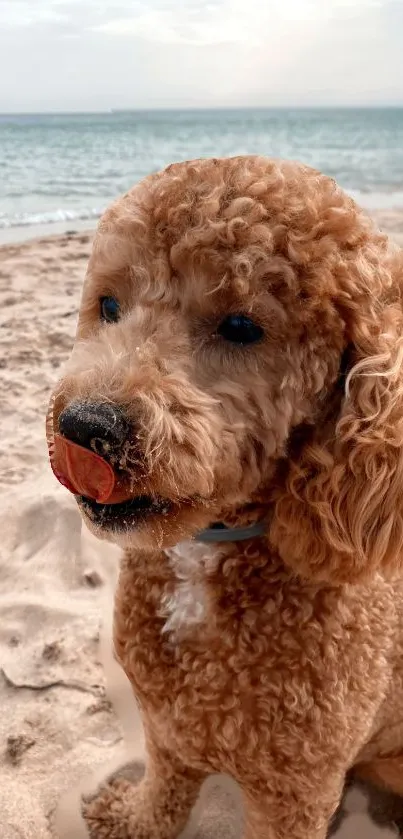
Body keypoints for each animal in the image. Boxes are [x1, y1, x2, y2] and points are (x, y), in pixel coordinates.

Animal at [49, 159, 403, 839]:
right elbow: (163, 792)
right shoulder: (165, 729)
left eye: (241, 327)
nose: (84, 427)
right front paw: (132, 819)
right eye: (109, 305)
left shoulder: (294, 793)